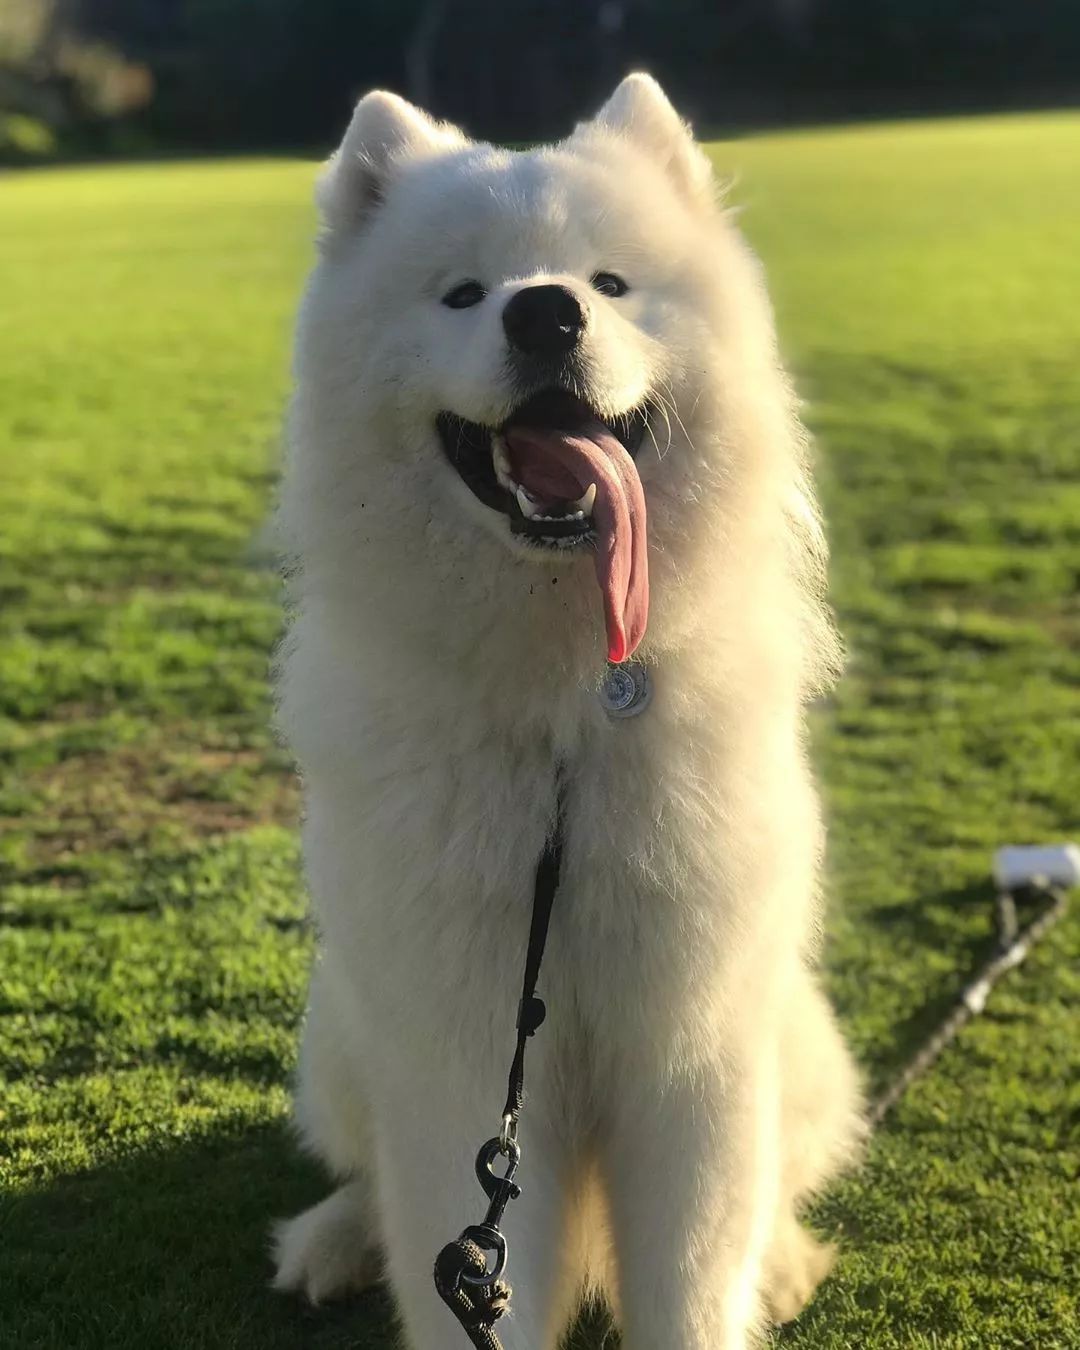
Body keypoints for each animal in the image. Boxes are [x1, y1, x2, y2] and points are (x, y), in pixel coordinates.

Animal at [274, 73, 864, 1350]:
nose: (543, 314)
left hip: (794, 1032)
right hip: (342, 1029)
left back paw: (782, 1265)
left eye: (610, 283)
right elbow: (470, 1262)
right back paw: (334, 1241)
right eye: (460, 293)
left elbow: (692, 1278)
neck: (563, 715)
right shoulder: (461, 1054)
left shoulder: (691, 1053)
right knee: (362, 1175)